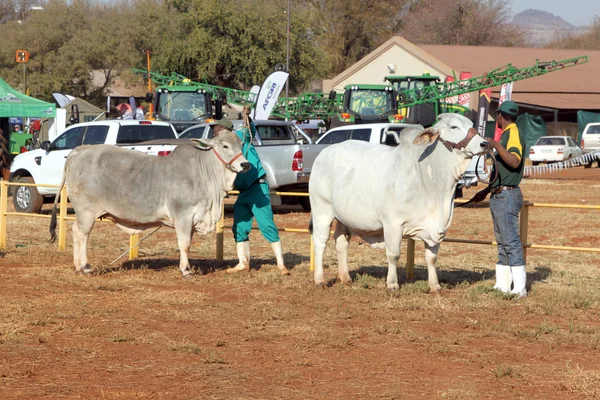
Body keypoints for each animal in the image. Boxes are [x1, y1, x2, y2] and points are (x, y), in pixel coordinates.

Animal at [48, 130, 251, 276]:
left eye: (241, 145)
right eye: (225, 145)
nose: (245, 165)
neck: (204, 174)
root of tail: (80, 150)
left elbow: (188, 244)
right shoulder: (183, 217)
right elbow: (184, 244)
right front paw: (186, 270)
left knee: (76, 232)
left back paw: (78, 266)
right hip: (86, 212)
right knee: (81, 233)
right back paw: (85, 267)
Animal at [308, 114, 490, 292]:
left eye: (471, 124)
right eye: (454, 126)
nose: (484, 143)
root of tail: (325, 152)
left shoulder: (436, 229)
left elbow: (431, 258)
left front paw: (435, 286)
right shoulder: (392, 224)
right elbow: (394, 255)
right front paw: (392, 284)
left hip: (343, 217)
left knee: (341, 242)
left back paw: (345, 278)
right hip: (322, 211)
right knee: (320, 242)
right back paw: (319, 280)